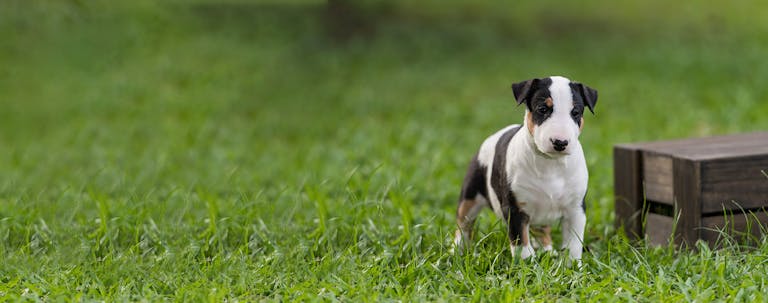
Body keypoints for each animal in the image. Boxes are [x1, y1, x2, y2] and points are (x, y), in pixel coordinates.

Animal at [452, 75, 596, 262]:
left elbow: (573, 244)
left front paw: (571, 266)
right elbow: (521, 242)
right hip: (470, 195)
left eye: (576, 112)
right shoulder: (515, 209)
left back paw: (548, 251)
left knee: (542, 231)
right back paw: (456, 251)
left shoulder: (575, 209)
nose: (560, 142)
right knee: (463, 224)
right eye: (542, 109)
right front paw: (527, 265)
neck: (551, 163)